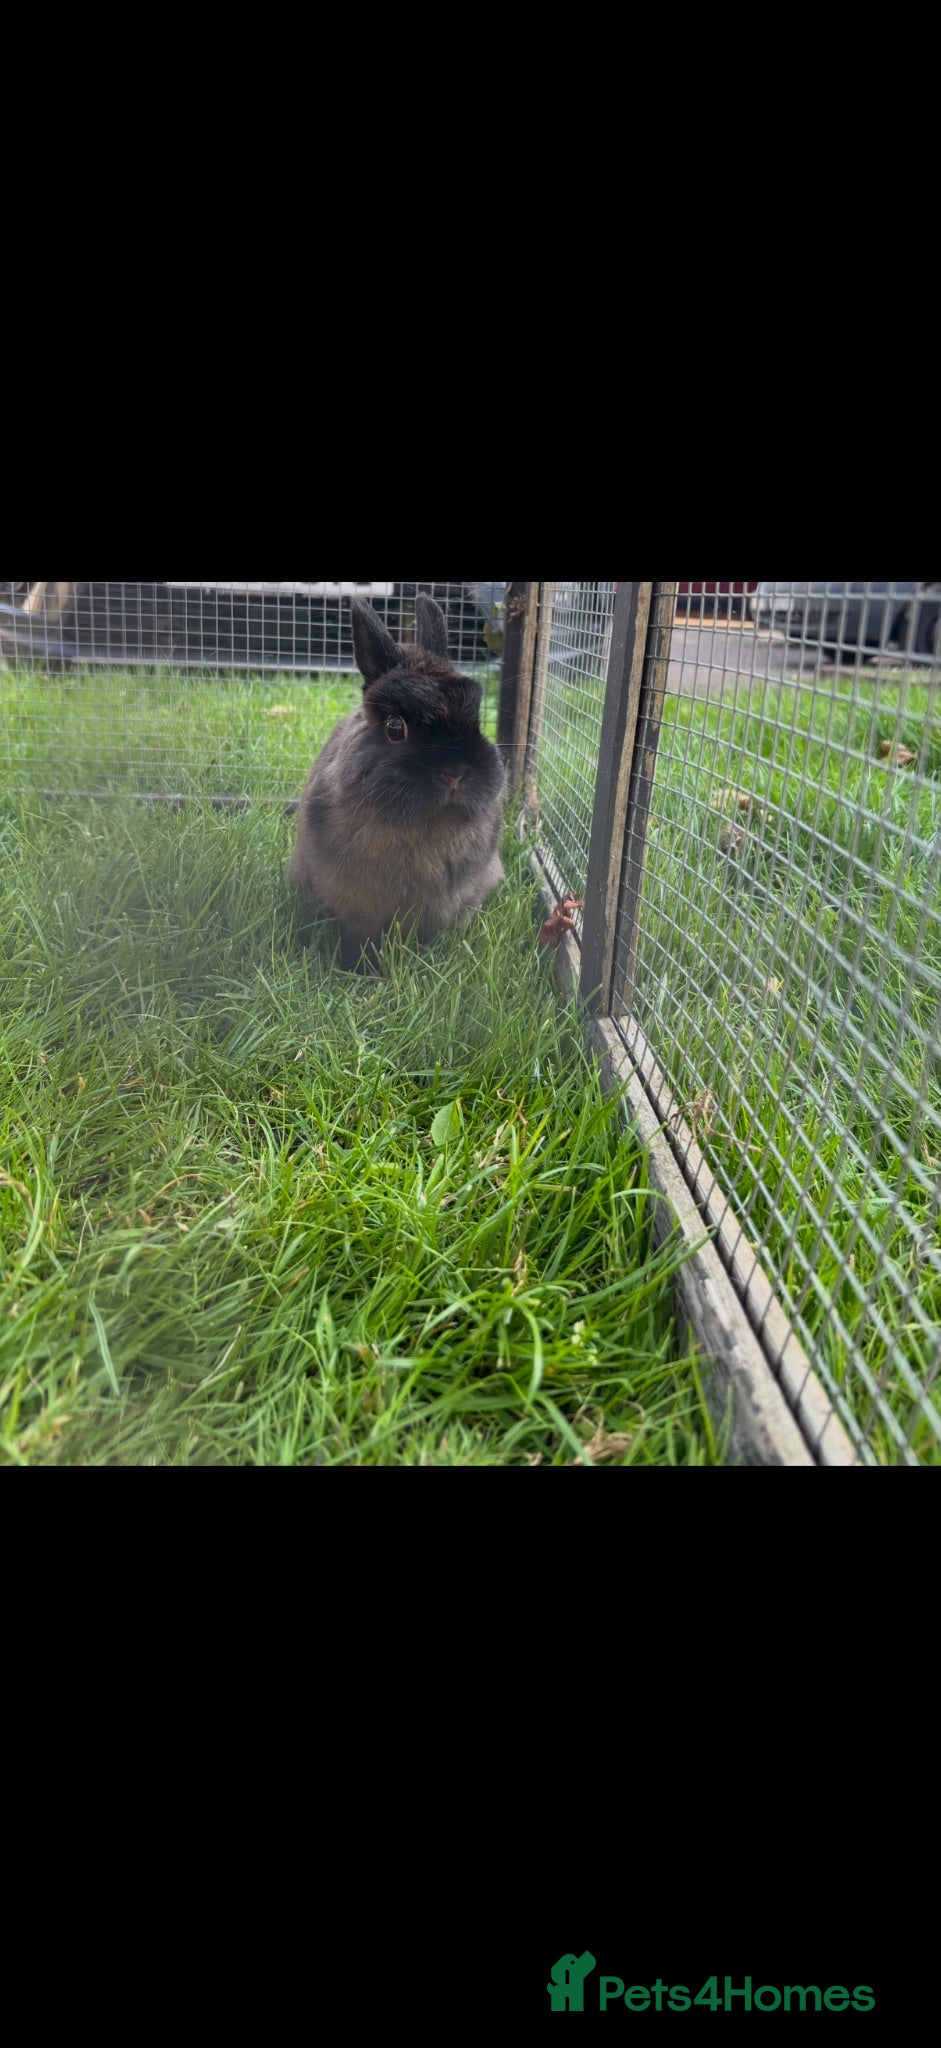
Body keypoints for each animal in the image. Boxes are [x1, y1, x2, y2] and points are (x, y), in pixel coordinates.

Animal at [289, 593, 505, 968]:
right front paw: (358, 969)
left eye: (477, 719)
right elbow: (358, 937)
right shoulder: (352, 903)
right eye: (394, 727)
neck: (422, 826)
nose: (455, 772)